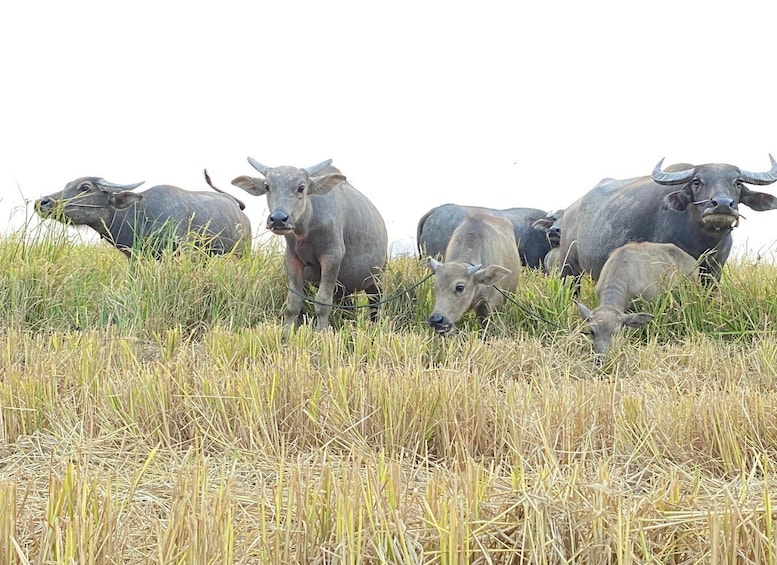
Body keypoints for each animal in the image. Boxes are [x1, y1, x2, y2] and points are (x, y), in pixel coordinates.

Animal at [231, 158, 387, 332]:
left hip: (377, 277)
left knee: (375, 301)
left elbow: (322, 300)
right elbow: (293, 301)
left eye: (301, 187)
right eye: (267, 186)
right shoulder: (292, 258)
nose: (278, 219)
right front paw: (287, 332)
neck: (307, 229)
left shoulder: (332, 257)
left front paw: (320, 332)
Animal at [559, 158, 777, 282]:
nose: (722, 204)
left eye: (738, 182)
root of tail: (571, 210)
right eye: (696, 182)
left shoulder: (715, 270)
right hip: (568, 268)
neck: (701, 242)